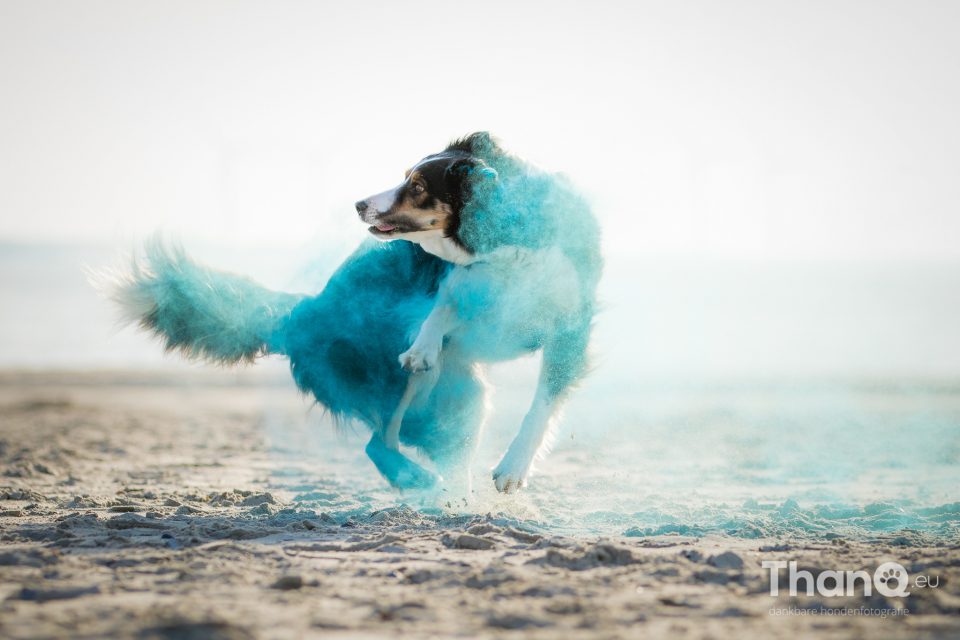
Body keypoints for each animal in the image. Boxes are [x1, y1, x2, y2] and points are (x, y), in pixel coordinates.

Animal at [109, 132, 596, 496]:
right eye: (404, 177)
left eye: (418, 186)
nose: (359, 204)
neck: (506, 241)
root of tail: (301, 312)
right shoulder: (459, 282)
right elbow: (442, 306)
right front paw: (422, 344)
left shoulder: (571, 326)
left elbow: (542, 402)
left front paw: (513, 467)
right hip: (395, 379)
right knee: (377, 443)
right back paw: (423, 480)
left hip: (463, 396)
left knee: (428, 447)